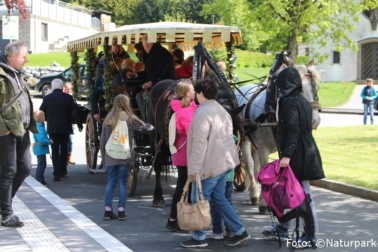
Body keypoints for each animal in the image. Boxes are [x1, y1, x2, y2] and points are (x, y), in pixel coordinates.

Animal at [235, 60, 320, 213]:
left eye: (318, 87)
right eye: (300, 89)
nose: (315, 122)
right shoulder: (263, 147)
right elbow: (264, 169)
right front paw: (264, 202)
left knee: (255, 164)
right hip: (244, 138)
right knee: (250, 164)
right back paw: (254, 194)